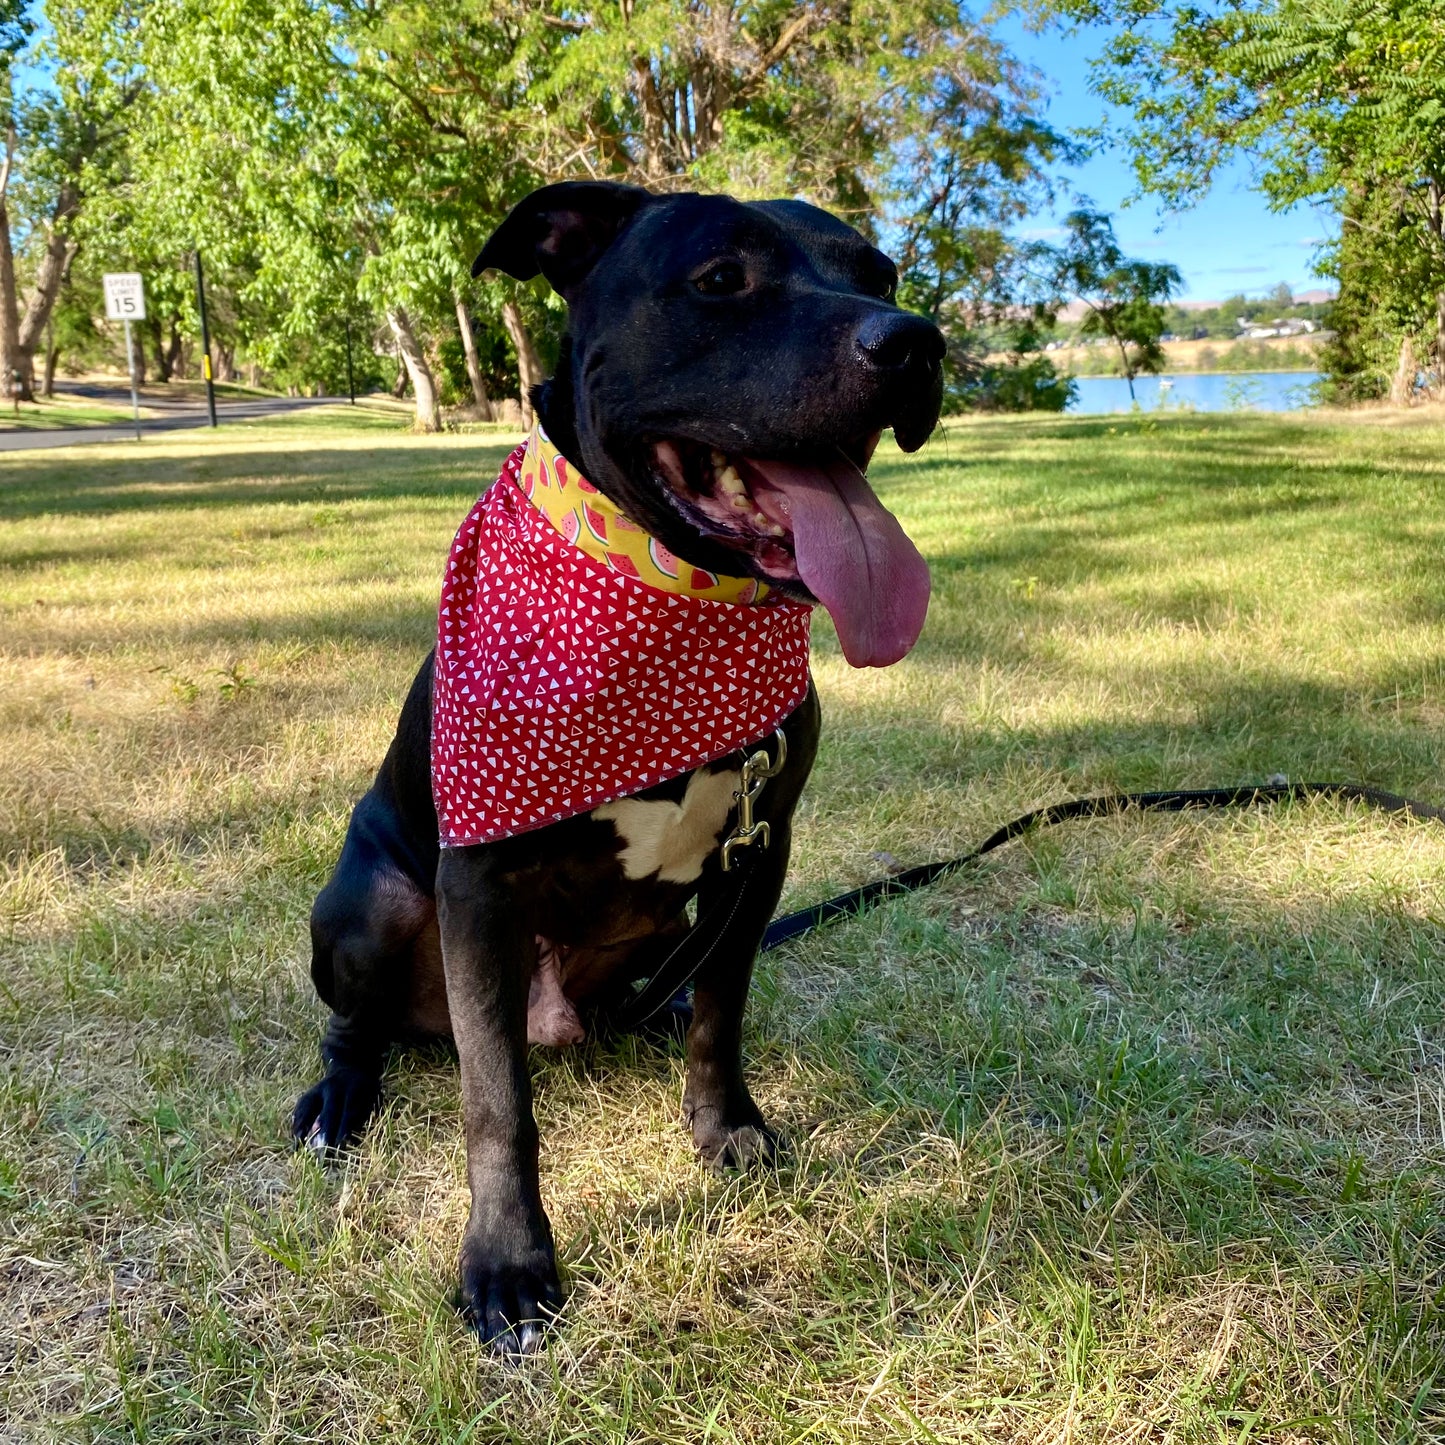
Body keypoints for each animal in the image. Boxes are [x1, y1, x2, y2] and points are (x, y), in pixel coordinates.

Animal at [293, 183, 947, 1352]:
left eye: (880, 275)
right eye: (720, 278)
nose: (916, 341)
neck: (669, 591)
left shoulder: (759, 851)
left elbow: (724, 1012)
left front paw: (726, 1128)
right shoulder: (479, 882)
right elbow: (495, 1103)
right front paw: (508, 1262)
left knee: (665, 993)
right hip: (373, 903)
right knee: (356, 1026)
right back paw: (338, 1097)